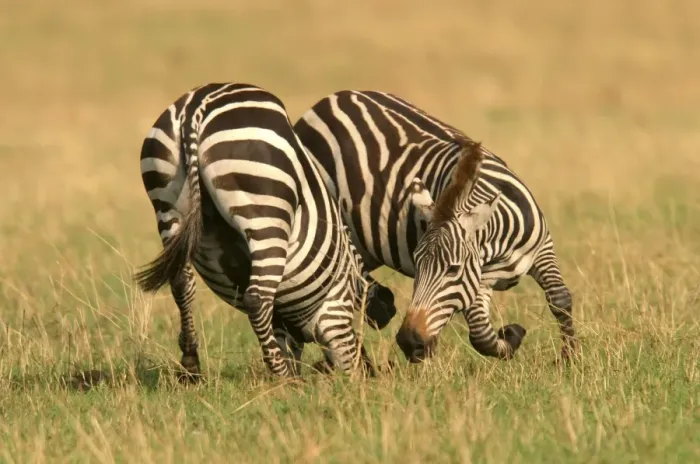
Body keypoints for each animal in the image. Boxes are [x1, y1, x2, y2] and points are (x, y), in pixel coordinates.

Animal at [134, 83, 396, 381]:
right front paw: (291, 371)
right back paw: (283, 377)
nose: (362, 378)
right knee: (256, 298)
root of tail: (196, 108)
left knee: (181, 283)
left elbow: (282, 330)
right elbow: (288, 333)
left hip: (168, 204)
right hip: (265, 209)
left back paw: (191, 365)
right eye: (352, 308)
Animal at [293, 90, 576, 364]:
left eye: (453, 269)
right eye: (417, 265)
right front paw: (512, 337)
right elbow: (480, 335)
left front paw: (569, 358)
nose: (409, 342)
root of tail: (328, 102)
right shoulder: (478, 283)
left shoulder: (542, 249)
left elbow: (559, 299)